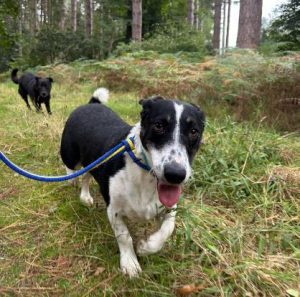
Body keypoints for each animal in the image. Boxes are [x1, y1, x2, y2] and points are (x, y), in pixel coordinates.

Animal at [59, 88, 204, 276]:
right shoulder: (114, 210)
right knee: (73, 169)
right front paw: (129, 262)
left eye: (194, 131)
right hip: (70, 154)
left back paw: (85, 197)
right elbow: (124, 237)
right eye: (159, 125)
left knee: (86, 176)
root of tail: (91, 104)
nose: (175, 174)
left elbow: (168, 228)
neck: (145, 173)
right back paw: (72, 178)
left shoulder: (168, 207)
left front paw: (146, 247)